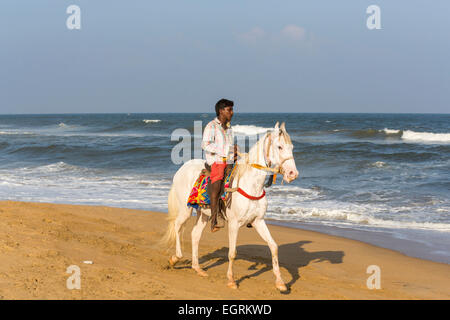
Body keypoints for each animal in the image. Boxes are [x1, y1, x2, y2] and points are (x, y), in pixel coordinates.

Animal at [162, 121, 298, 292]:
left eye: (291, 147)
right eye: (279, 147)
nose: (293, 174)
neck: (251, 185)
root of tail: (182, 169)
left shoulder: (258, 221)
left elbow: (273, 247)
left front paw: (280, 283)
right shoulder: (234, 224)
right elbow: (232, 253)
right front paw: (231, 281)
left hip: (204, 213)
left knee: (195, 234)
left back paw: (197, 268)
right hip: (185, 209)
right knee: (177, 226)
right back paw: (175, 258)